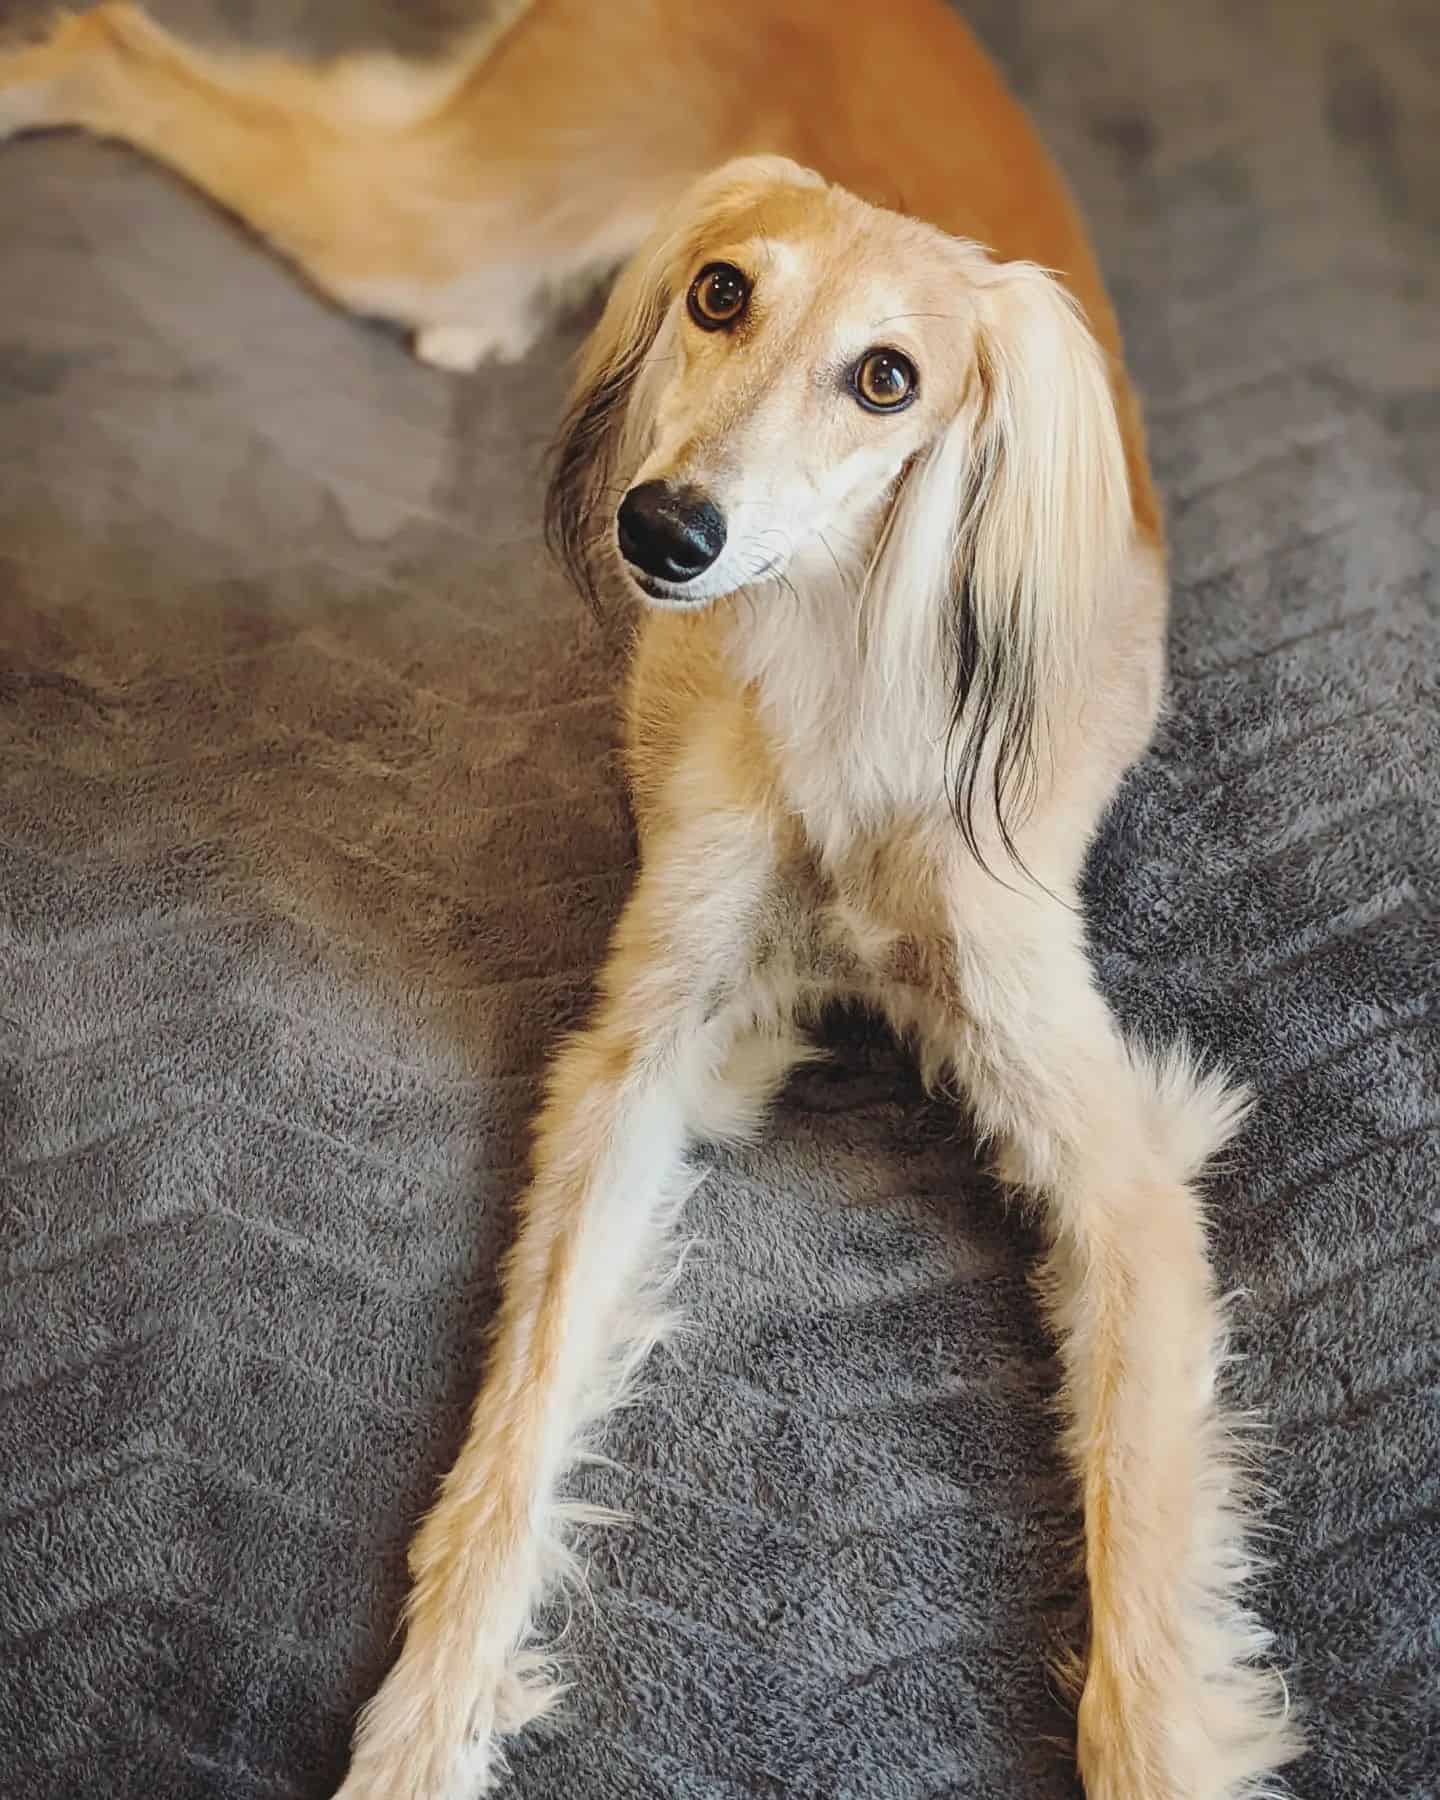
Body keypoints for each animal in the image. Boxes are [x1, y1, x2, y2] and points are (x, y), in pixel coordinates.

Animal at [0, 3, 1296, 1800]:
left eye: (888, 378)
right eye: (723, 294)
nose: (663, 530)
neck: (849, 682)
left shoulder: (1118, 1169)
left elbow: (1148, 1623)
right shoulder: (645, 1049)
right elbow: (518, 1429)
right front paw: (427, 1722)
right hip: (447, 208)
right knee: (128, 57)